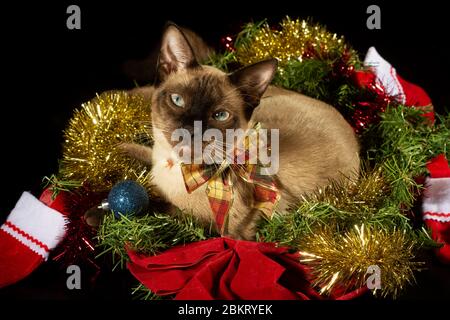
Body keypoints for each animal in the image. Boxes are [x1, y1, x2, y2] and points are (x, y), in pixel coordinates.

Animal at [121, 23, 360, 240]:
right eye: (178, 100)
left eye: (220, 115)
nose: (190, 130)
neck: (176, 169)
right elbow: (142, 152)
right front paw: (120, 148)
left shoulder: (218, 229)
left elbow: (155, 209)